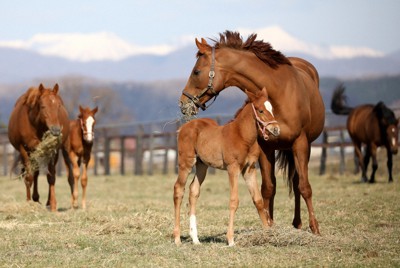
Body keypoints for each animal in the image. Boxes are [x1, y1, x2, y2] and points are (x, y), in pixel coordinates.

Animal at [173, 87, 280, 245]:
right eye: (260, 110)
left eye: (271, 108)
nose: (276, 129)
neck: (242, 136)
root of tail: (183, 127)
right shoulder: (233, 168)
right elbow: (234, 200)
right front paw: (230, 240)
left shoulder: (249, 169)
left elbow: (258, 200)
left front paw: (267, 234)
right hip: (186, 162)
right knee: (179, 189)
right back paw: (177, 238)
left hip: (202, 165)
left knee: (193, 190)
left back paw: (195, 239)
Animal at [178, 30, 324, 233]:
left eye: (196, 72)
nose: (183, 103)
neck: (279, 92)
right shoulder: (265, 147)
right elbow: (268, 188)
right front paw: (269, 225)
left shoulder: (300, 143)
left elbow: (305, 187)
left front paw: (315, 227)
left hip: (301, 148)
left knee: (296, 184)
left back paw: (298, 223)